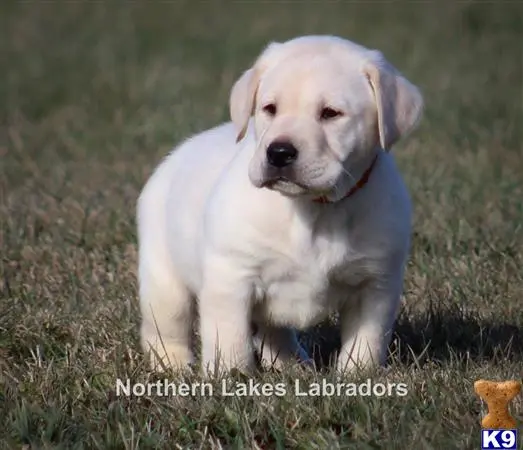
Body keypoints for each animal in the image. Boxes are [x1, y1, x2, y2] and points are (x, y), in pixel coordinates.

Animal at [137, 35, 424, 374]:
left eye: (331, 113)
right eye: (270, 108)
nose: (279, 152)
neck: (313, 209)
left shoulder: (376, 284)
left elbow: (367, 340)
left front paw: (357, 375)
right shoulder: (231, 276)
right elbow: (229, 337)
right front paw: (230, 376)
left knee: (273, 331)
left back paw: (291, 363)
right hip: (164, 281)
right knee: (166, 327)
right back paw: (173, 365)